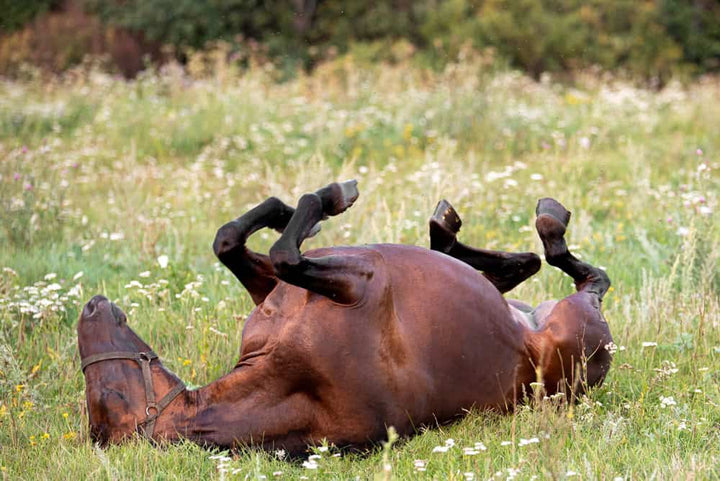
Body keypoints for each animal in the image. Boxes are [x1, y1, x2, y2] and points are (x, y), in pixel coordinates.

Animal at [78, 180, 613, 453]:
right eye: (109, 394)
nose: (90, 306)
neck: (296, 384)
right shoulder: (358, 279)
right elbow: (286, 251)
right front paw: (331, 196)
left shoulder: (276, 288)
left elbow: (231, 239)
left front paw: (293, 209)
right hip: (574, 327)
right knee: (581, 273)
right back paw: (542, 224)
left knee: (521, 266)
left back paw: (448, 229)